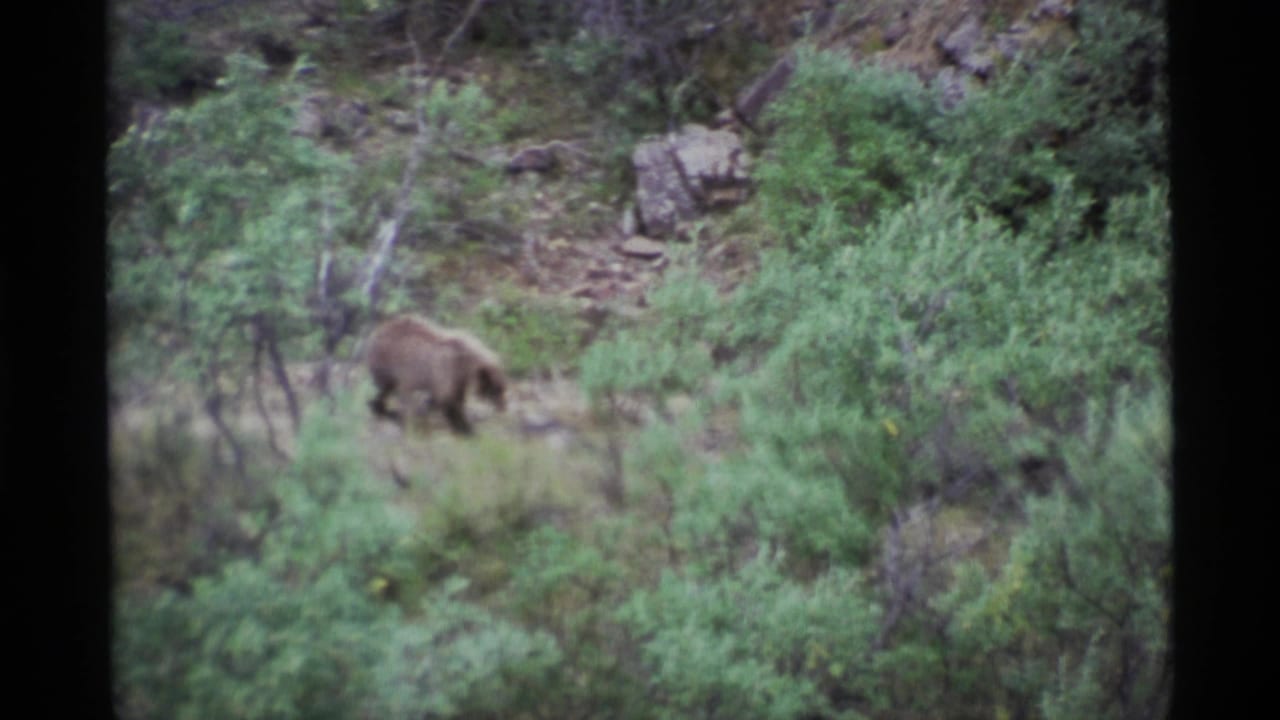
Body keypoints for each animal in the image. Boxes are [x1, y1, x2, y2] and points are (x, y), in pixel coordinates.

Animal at [365, 314, 507, 434]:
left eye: (503, 388)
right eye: (496, 390)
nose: (503, 407)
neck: (463, 366)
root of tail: (376, 332)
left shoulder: (456, 380)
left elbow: (452, 400)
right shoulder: (445, 373)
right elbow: (447, 402)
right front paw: (465, 428)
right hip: (389, 365)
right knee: (390, 390)